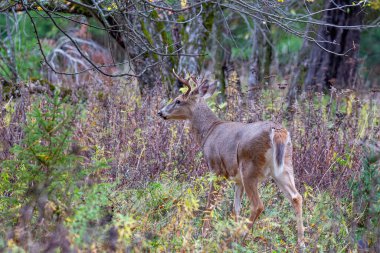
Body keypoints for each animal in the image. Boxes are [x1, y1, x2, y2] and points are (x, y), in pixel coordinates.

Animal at [157, 70, 306, 248]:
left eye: (178, 100)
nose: (160, 112)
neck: (209, 132)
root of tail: (277, 131)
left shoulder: (216, 169)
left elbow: (210, 203)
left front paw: (204, 235)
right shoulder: (237, 179)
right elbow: (236, 209)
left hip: (249, 167)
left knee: (258, 205)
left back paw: (235, 239)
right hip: (284, 167)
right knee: (296, 197)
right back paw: (301, 244)